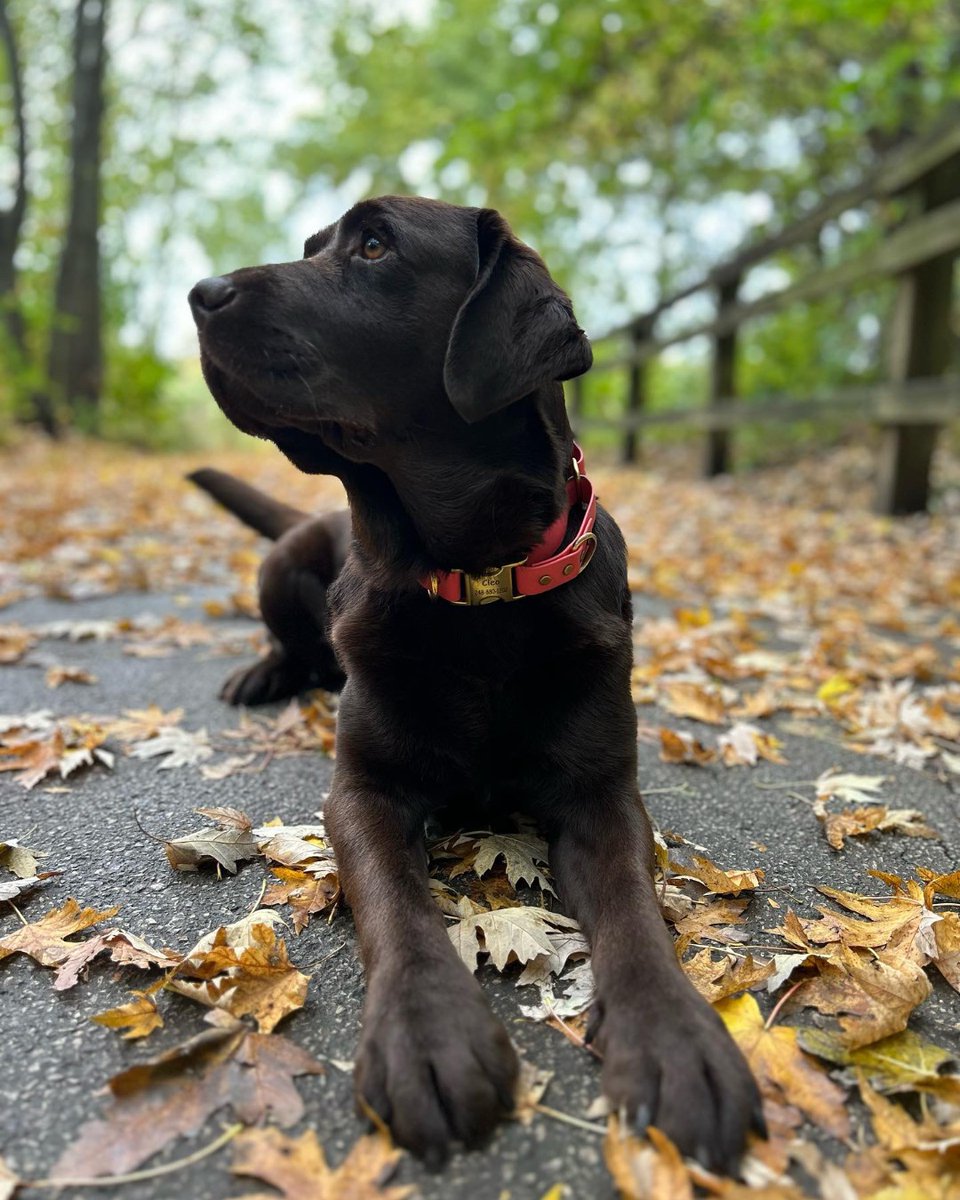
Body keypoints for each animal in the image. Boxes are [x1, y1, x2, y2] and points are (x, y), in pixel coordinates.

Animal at [187, 196, 763, 1171]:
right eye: (311, 247)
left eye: (373, 246)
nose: (201, 292)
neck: (477, 585)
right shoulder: (361, 791)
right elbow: (396, 903)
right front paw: (427, 1034)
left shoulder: (603, 794)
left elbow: (633, 910)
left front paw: (676, 1039)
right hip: (284, 557)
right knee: (291, 638)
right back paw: (266, 670)